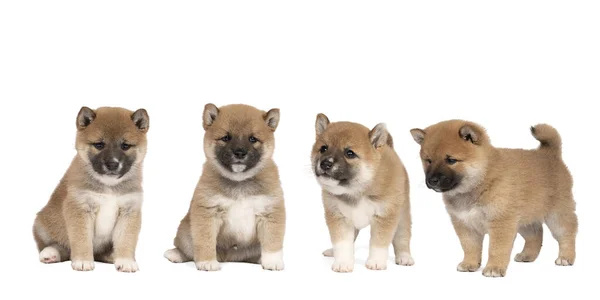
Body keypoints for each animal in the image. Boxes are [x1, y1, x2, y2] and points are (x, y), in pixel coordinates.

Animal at [33, 106, 150, 274]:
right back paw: (51, 253)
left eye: (125, 146)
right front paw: (83, 261)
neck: (109, 185)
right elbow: (81, 239)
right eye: (99, 145)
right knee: (58, 246)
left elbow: (126, 240)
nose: (112, 164)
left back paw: (111, 256)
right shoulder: (80, 208)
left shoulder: (129, 211)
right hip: (42, 224)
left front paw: (125, 261)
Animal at [164, 103, 286, 272]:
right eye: (226, 137)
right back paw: (175, 254)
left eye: (252, 139)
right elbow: (205, 241)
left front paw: (272, 261)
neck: (239, 181)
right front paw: (207, 262)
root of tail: (230, 257)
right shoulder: (208, 213)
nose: (240, 152)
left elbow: (272, 242)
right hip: (185, 231)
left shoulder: (270, 212)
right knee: (188, 249)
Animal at [312, 113, 414, 274]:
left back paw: (404, 257)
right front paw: (343, 262)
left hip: (402, 216)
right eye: (323, 149)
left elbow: (379, 244)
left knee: (402, 238)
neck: (356, 190)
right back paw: (333, 252)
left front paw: (376, 262)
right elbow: (342, 243)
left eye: (349, 153)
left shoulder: (384, 217)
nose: (325, 163)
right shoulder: (339, 218)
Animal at [412, 119, 576, 276]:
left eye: (451, 160)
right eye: (428, 160)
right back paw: (527, 255)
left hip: (556, 215)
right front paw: (470, 264)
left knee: (568, 232)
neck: (480, 181)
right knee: (536, 234)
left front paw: (494, 268)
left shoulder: (501, 222)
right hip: (523, 220)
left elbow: (496, 249)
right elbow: (470, 247)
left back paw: (566, 257)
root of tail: (550, 154)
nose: (432, 180)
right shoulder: (465, 224)